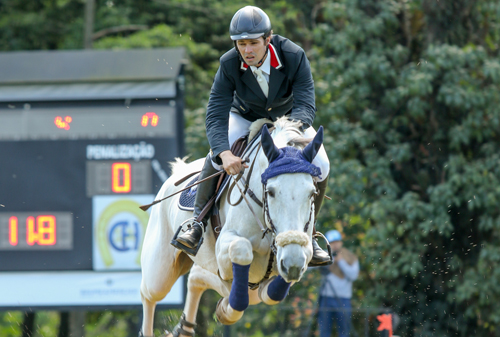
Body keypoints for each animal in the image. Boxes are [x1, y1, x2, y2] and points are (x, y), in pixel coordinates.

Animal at [140, 117, 324, 334]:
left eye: (312, 193)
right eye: (270, 192)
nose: (292, 263)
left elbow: (275, 288)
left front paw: (225, 309)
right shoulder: (225, 246)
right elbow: (241, 249)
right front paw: (226, 311)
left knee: (198, 277)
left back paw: (188, 327)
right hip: (160, 271)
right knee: (148, 293)